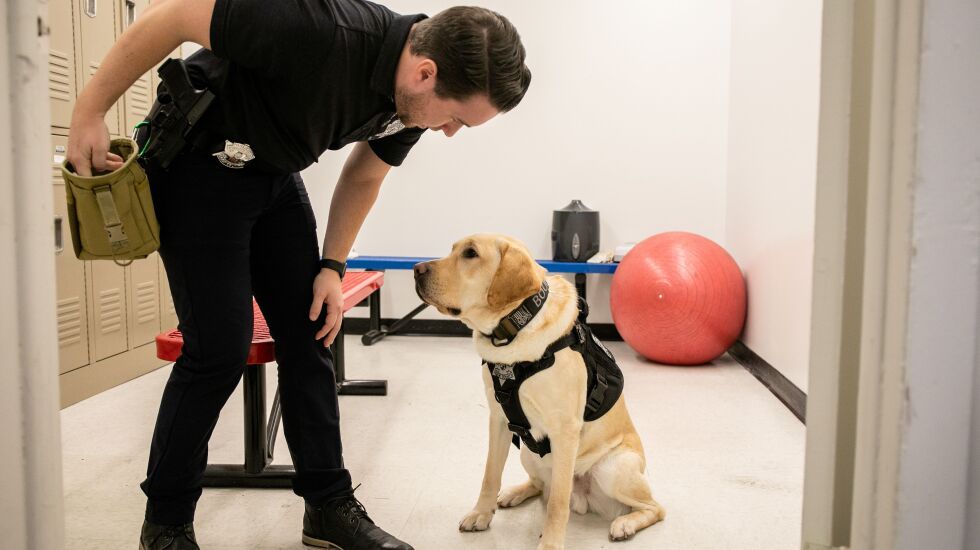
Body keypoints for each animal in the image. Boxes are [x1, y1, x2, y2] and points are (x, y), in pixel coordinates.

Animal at [413, 234, 664, 549]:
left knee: (655, 507)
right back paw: (513, 493)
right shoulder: (498, 419)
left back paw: (625, 523)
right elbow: (490, 475)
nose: (416, 269)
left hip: (615, 468)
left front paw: (551, 543)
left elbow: (557, 501)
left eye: (470, 254)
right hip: (527, 453)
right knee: (538, 484)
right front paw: (481, 513)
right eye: (453, 250)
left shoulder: (565, 430)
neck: (513, 331)